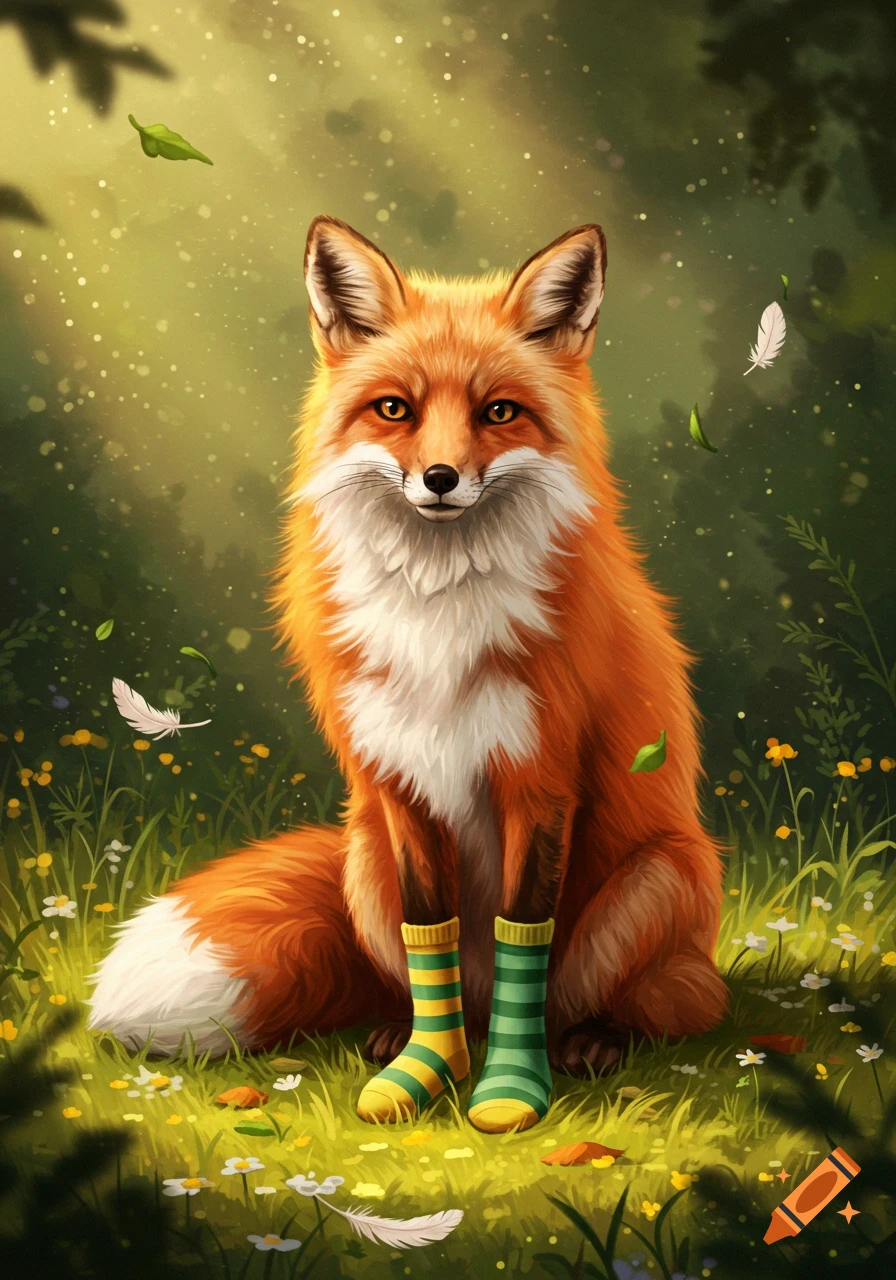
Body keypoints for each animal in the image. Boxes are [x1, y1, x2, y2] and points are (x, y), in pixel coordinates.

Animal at [88, 215, 727, 1133]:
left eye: (499, 412)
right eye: (395, 409)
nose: (440, 479)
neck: (440, 613)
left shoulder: (539, 777)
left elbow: (521, 926)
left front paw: (506, 1088)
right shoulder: (400, 778)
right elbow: (436, 927)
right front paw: (428, 1069)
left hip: (654, 882)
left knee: (628, 1003)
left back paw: (584, 1042)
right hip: (364, 863)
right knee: (443, 981)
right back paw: (405, 1035)